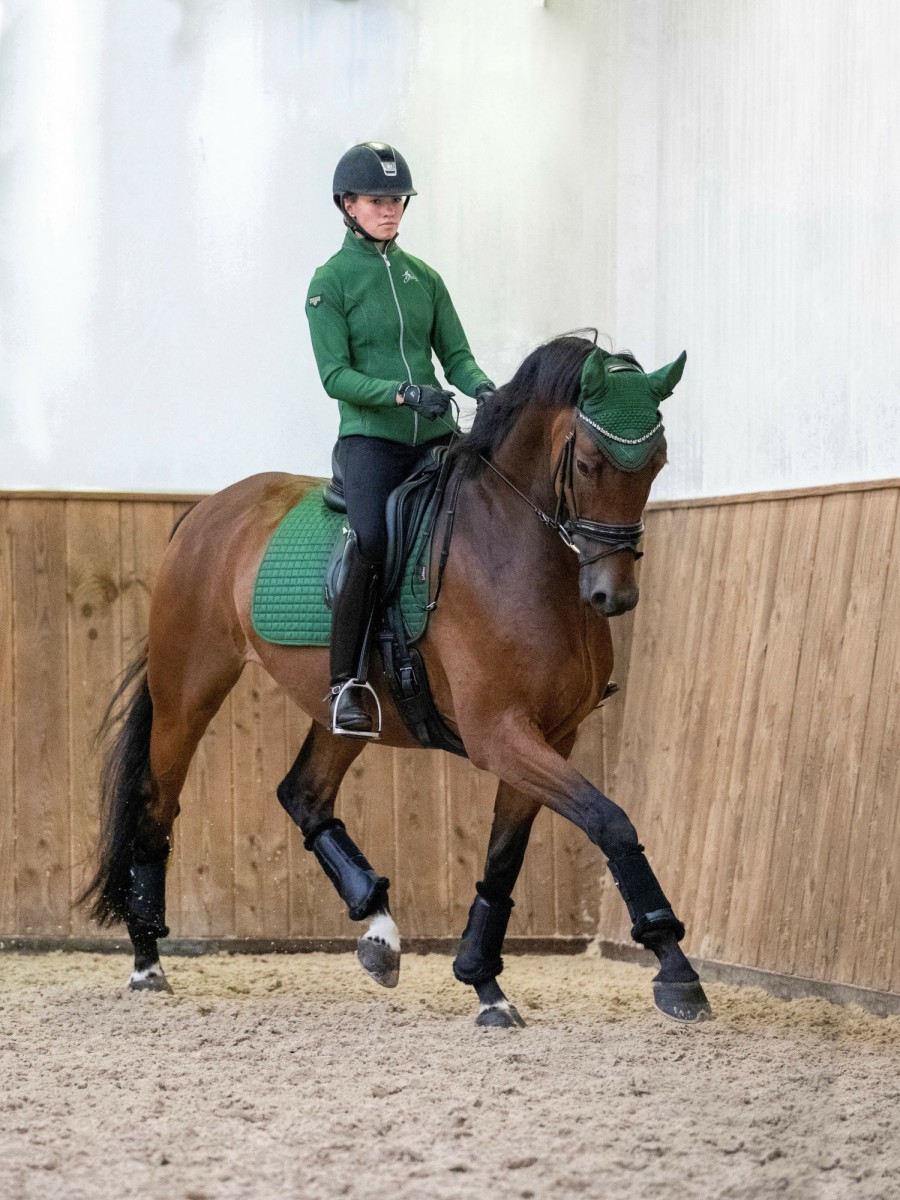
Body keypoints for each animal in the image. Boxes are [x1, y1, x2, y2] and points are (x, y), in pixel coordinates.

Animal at [86, 333, 720, 1027]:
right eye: (586, 463)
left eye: (656, 462)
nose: (614, 595)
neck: (519, 551)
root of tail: (204, 510)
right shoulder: (500, 734)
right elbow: (611, 822)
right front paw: (676, 970)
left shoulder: (552, 736)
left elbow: (504, 861)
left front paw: (483, 981)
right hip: (187, 691)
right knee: (157, 804)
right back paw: (148, 959)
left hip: (345, 708)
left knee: (304, 795)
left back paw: (379, 931)